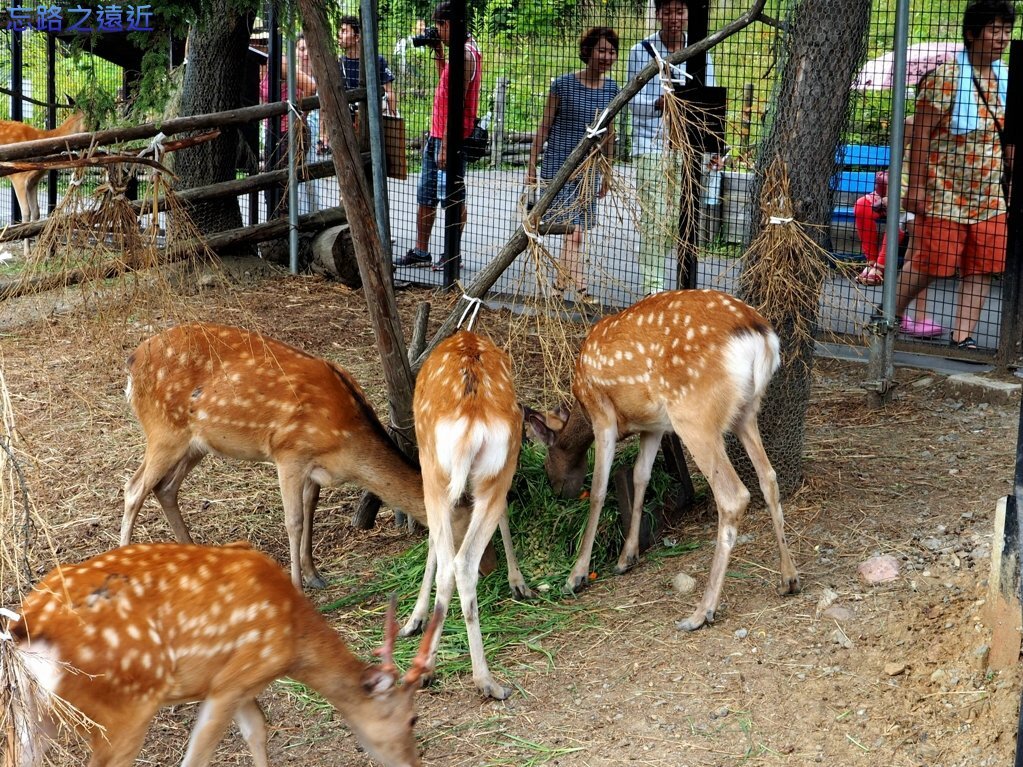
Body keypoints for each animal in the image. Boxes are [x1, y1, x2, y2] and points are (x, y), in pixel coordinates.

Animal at [7, 539, 439, 767]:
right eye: (413, 718)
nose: (413, 764)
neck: (294, 639)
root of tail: (27, 627)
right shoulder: (236, 678)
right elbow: (197, 757)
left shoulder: (240, 682)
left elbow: (257, 730)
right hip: (121, 710)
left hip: (28, 711)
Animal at [405, 331, 536, 703]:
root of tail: (471, 424)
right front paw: (518, 581)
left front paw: (415, 616)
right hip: (494, 471)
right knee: (459, 560)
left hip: (437, 469)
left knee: (455, 563)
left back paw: (465, 676)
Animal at [523, 290, 802, 634]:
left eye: (547, 465)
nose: (557, 493)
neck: (581, 404)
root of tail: (760, 337)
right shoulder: (653, 426)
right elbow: (640, 476)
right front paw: (626, 558)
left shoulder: (603, 414)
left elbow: (600, 489)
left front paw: (576, 576)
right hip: (745, 412)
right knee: (768, 477)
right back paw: (789, 579)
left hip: (693, 413)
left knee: (733, 495)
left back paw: (701, 612)